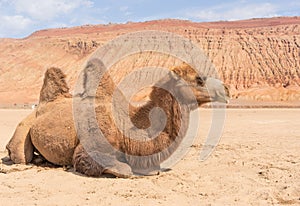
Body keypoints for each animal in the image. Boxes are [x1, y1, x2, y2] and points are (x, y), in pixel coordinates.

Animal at [5, 59, 230, 177]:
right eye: (199, 79)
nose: (226, 89)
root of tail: (43, 103)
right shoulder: (90, 150)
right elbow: (124, 169)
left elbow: (153, 170)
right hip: (23, 128)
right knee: (20, 155)